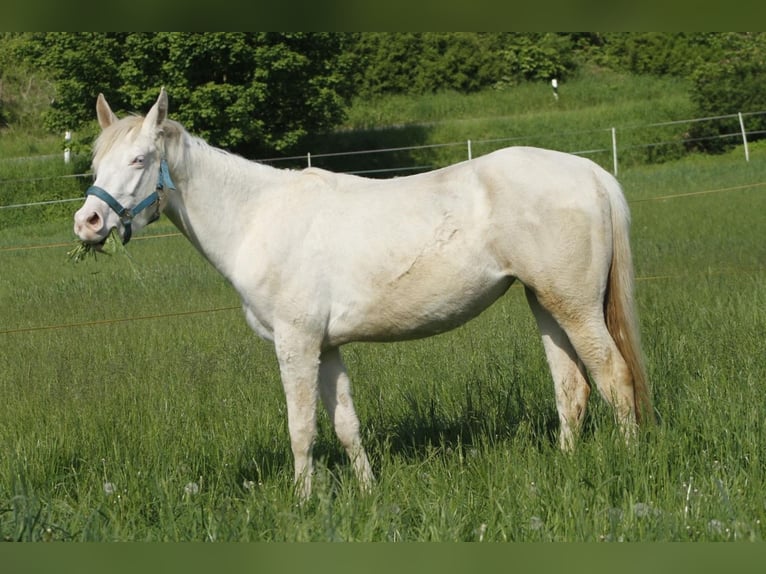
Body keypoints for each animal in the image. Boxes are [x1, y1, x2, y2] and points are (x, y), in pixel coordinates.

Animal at [75, 90, 656, 500]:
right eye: (97, 164)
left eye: (139, 159)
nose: (88, 222)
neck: (258, 217)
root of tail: (591, 172)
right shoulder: (327, 348)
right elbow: (346, 426)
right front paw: (368, 493)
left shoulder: (296, 345)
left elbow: (302, 428)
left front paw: (304, 502)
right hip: (546, 303)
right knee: (572, 388)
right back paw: (566, 464)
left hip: (576, 307)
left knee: (613, 377)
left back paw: (627, 464)